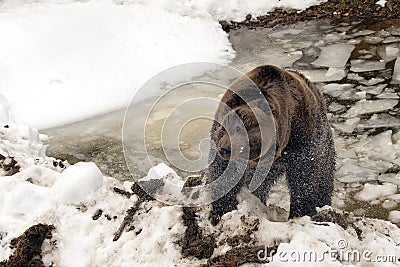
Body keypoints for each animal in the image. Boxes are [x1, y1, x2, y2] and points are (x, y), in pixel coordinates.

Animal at [206, 65, 334, 224]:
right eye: (224, 129)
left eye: (239, 128)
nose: (225, 148)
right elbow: (224, 173)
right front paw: (221, 209)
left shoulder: (301, 135)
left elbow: (304, 175)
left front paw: (301, 212)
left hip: (324, 139)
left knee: (325, 174)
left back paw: (324, 203)